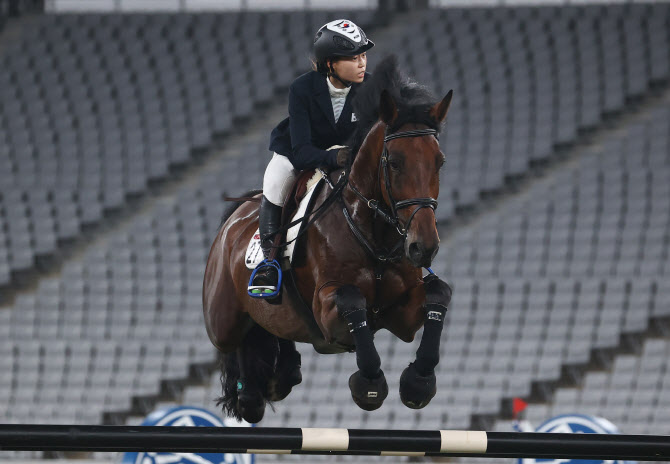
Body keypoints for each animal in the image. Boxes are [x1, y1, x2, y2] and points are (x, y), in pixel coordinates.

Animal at [203, 55, 456, 424]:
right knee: (237, 341)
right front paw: (370, 385)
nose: (423, 247)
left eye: (440, 162)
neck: (375, 236)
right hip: (222, 319)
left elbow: (439, 292)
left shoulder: (401, 315)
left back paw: (281, 375)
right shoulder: (327, 308)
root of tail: (233, 220)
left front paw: (418, 383)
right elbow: (352, 301)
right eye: (394, 163)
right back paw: (250, 394)